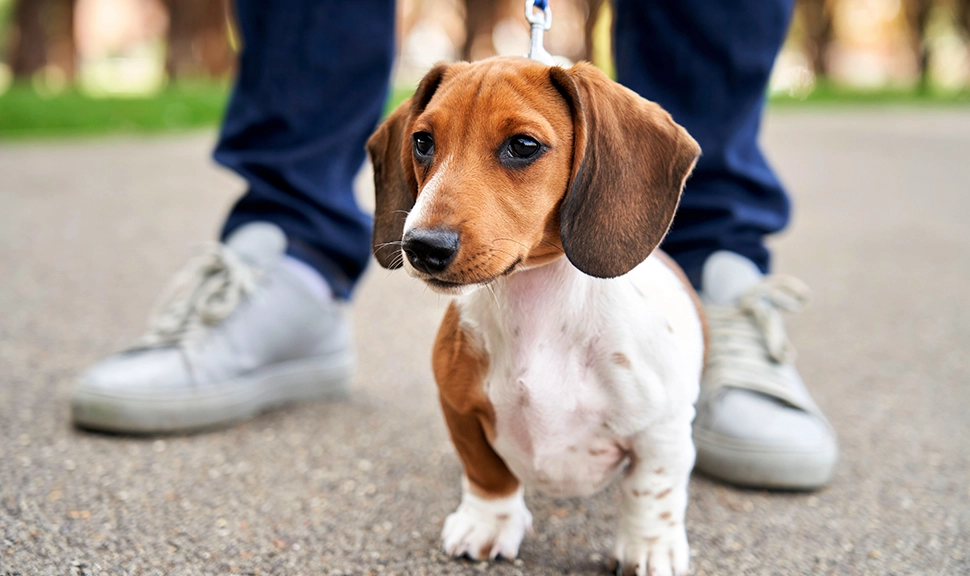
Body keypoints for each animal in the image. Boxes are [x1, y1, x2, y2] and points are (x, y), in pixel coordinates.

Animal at [366, 57, 700, 576]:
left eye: (523, 146)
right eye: (422, 141)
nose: (422, 246)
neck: (537, 306)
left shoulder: (660, 429)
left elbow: (652, 490)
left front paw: (649, 548)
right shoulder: (460, 408)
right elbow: (486, 472)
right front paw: (489, 523)